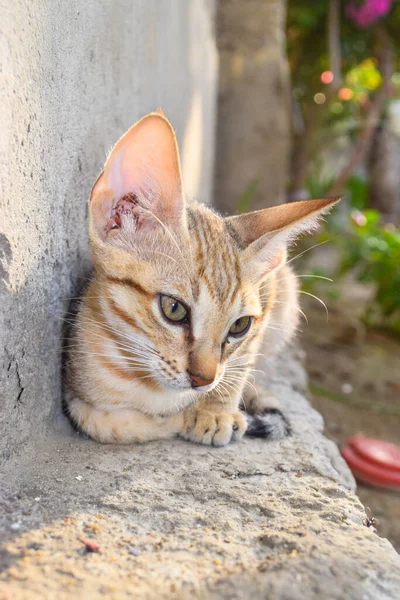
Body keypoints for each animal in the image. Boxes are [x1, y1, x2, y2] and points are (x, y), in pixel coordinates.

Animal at [62, 111, 338, 446]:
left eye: (240, 325)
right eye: (173, 308)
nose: (203, 379)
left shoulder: (267, 293)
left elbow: (242, 361)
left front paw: (215, 409)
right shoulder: (79, 399)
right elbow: (112, 424)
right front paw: (185, 417)